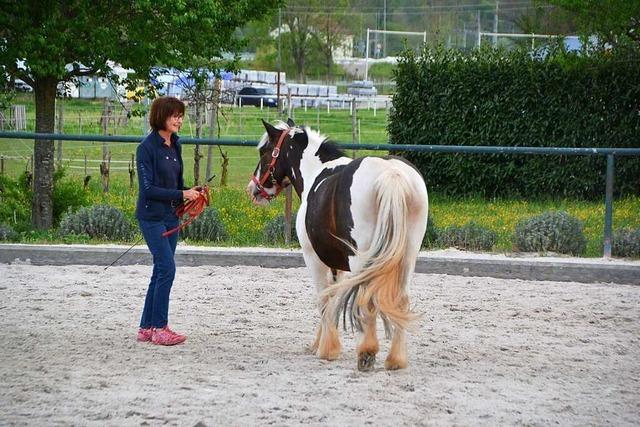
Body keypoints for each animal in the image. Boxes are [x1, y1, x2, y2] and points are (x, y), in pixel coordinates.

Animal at [248, 119, 428, 372]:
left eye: (264, 151)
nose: (253, 188)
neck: (316, 171)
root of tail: (391, 173)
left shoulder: (313, 258)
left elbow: (323, 299)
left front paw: (326, 349)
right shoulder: (337, 264)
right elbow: (333, 298)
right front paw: (323, 342)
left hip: (362, 259)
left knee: (367, 299)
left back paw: (366, 353)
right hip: (407, 257)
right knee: (402, 299)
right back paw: (395, 360)